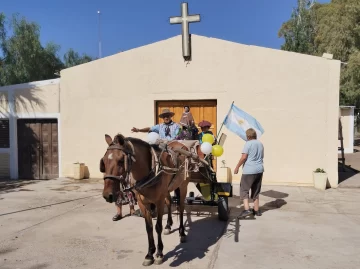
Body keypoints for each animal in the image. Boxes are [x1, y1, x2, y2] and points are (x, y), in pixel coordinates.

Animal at [100, 133, 193, 264]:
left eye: (121, 161)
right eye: (103, 161)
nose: (107, 195)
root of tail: (180, 144)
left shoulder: (158, 201)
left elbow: (157, 226)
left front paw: (159, 253)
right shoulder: (142, 203)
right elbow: (148, 227)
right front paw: (149, 254)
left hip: (183, 185)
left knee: (180, 207)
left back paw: (182, 232)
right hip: (167, 189)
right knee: (169, 202)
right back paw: (168, 225)